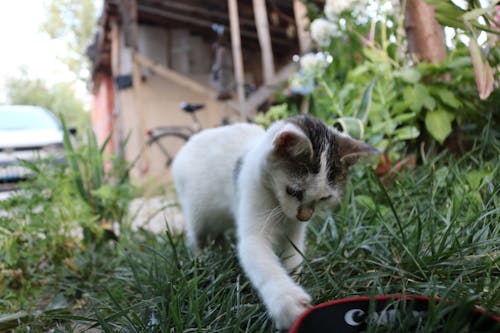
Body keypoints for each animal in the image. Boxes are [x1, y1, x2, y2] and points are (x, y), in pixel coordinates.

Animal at [171, 114, 376, 326]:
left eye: (324, 198)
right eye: (294, 191)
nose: (305, 216)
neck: (278, 205)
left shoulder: (294, 230)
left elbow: (294, 255)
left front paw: (296, 278)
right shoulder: (254, 220)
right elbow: (264, 263)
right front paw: (288, 302)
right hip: (197, 214)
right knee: (196, 237)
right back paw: (200, 260)